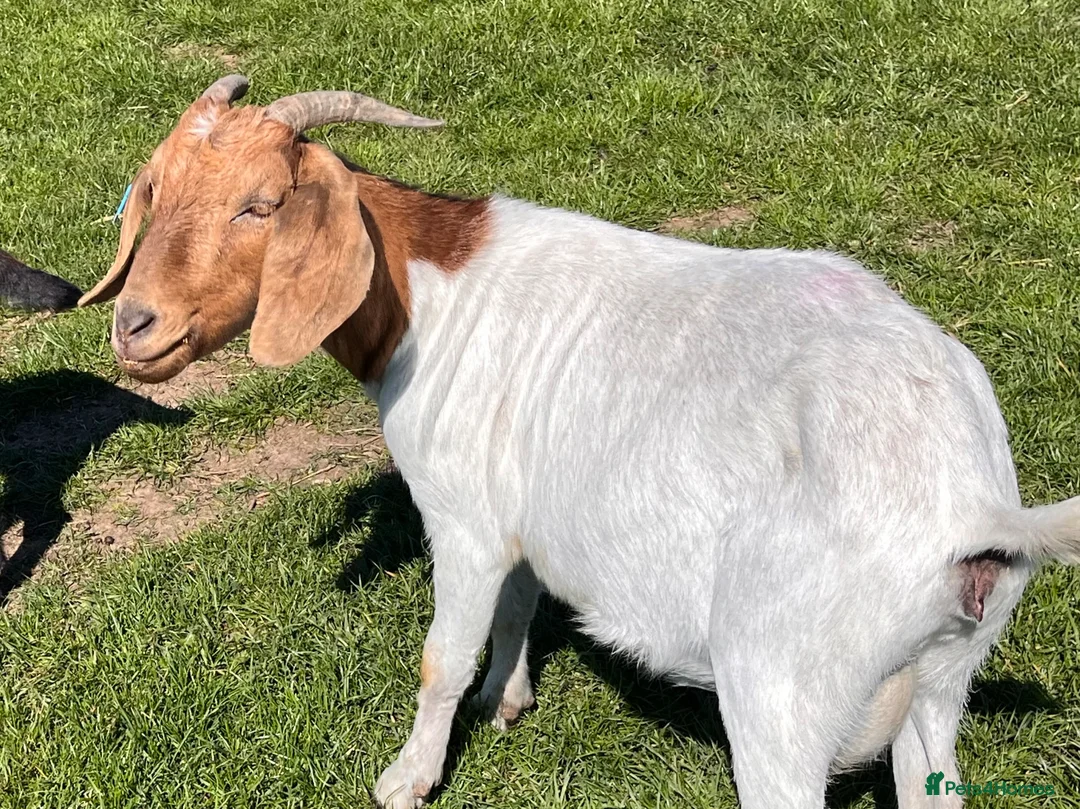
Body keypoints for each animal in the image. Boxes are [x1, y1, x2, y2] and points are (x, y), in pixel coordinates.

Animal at [80, 75, 1080, 809]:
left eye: (261, 205)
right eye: (155, 192)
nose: (135, 326)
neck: (424, 297)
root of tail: (972, 502)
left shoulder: (467, 521)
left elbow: (441, 657)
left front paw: (408, 776)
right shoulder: (524, 511)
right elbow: (518, 606)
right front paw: (507, 700)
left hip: (783, 685)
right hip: (941, 679)